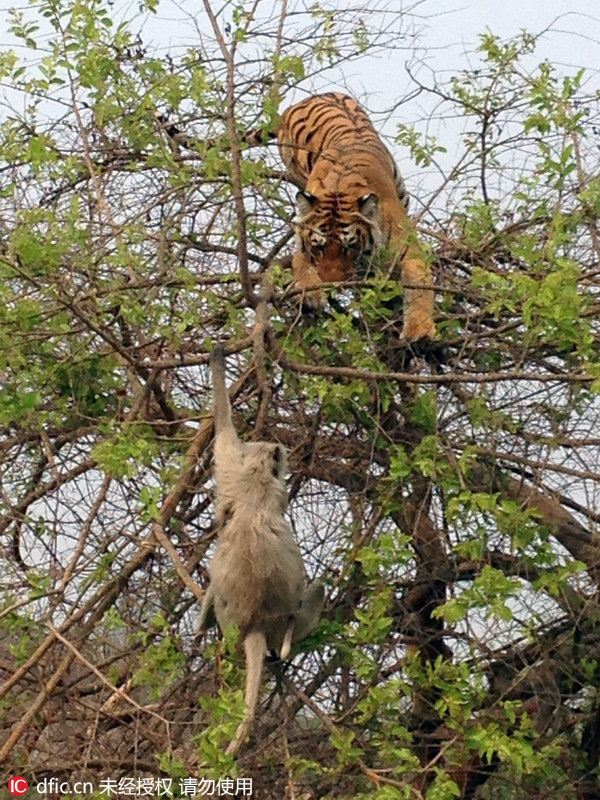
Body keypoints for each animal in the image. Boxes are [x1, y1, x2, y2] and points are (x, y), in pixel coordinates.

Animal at [197, 348, 324, 756]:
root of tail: (255, 626)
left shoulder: (237, 473)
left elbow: (224, 435)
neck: (255, 481)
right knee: (315, 591)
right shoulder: (262, 484)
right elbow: (224, 435)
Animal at [276, 92, 436, 342]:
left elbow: (417, 280)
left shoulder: (407, 246)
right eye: (318, 247)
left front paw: (420, 331)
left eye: (349, 247)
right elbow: (302, 268)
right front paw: (309, 295)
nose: (332, 284)